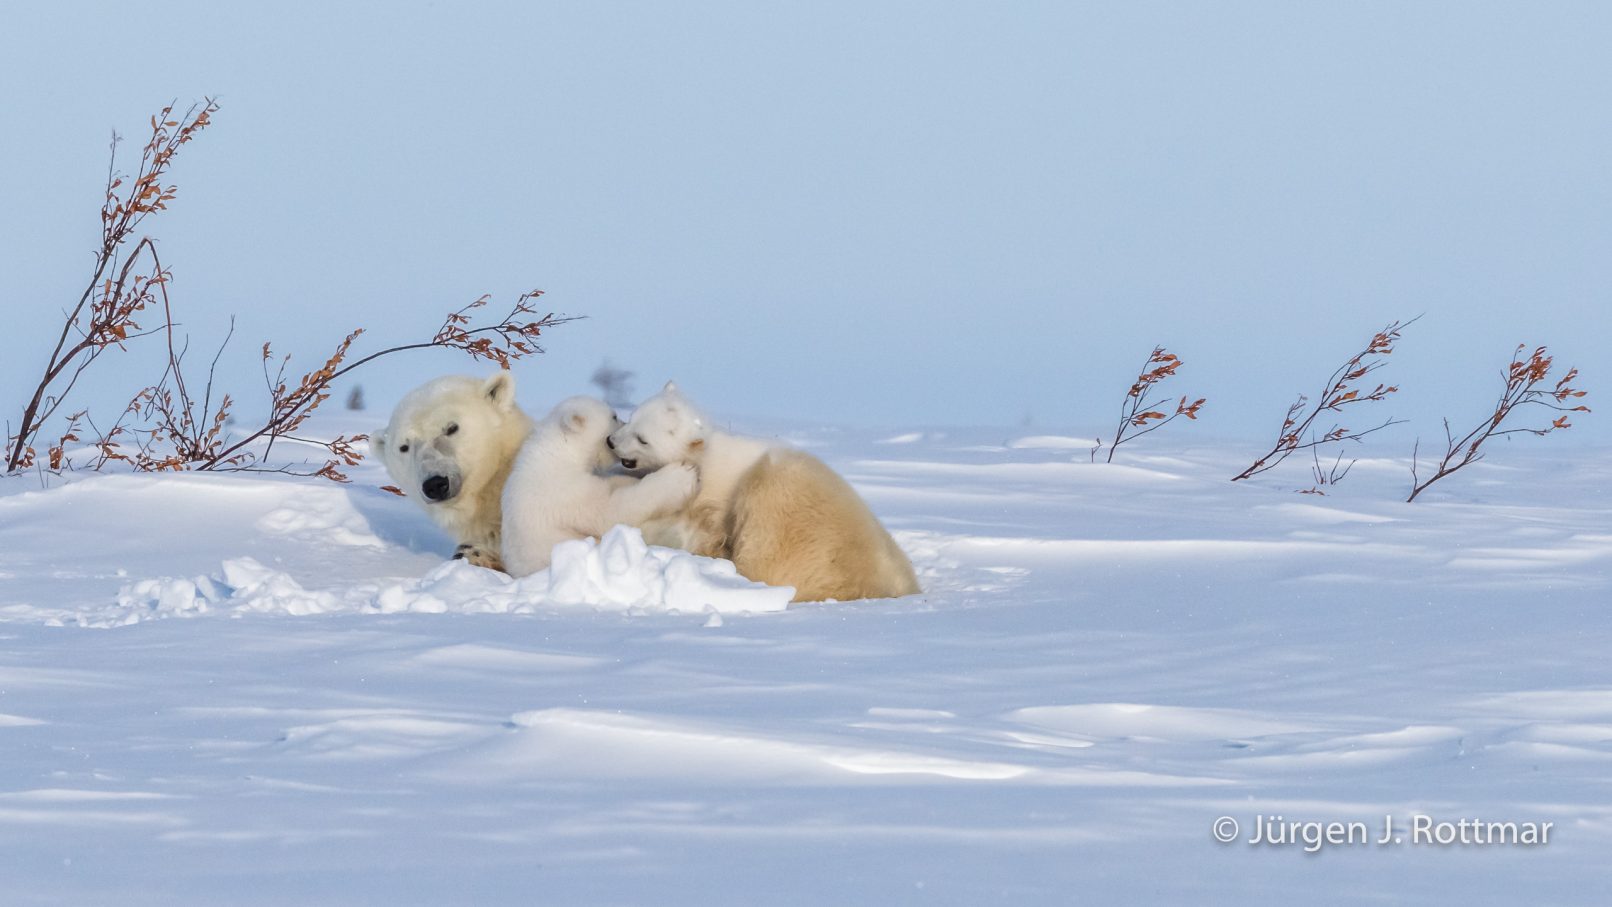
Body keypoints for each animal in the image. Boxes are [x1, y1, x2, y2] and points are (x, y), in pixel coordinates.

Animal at [500, 396, 700, 577]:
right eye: (614, 416)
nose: (613, 440)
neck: (559, 453)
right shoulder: (565, 493)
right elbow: (609, 512)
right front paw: (682, 474)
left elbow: (613, 483)